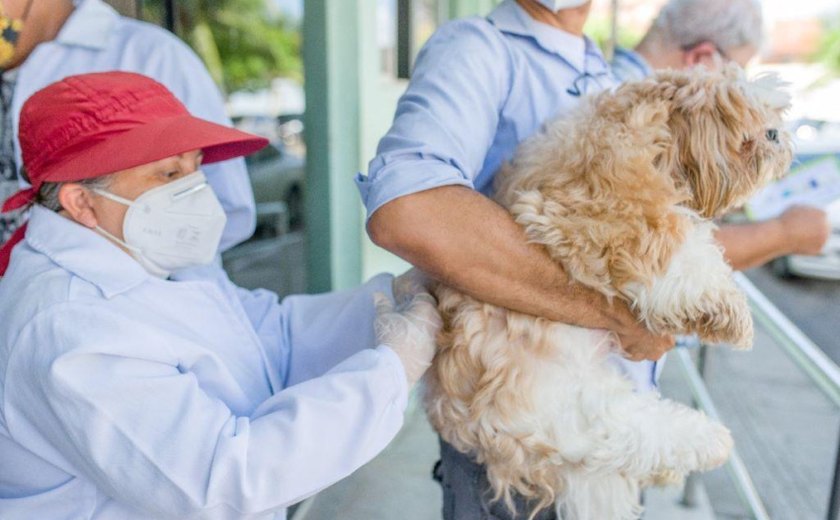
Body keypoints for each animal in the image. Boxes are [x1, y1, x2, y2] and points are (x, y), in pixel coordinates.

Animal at [426, 66, 796, 520]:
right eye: (754, 124)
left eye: (775, 119)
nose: (778, 134)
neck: (649, 129)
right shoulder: (601, 214)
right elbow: (679, 248)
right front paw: (729, 309)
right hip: (573, 405)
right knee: (636, 431)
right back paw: (710, 440)